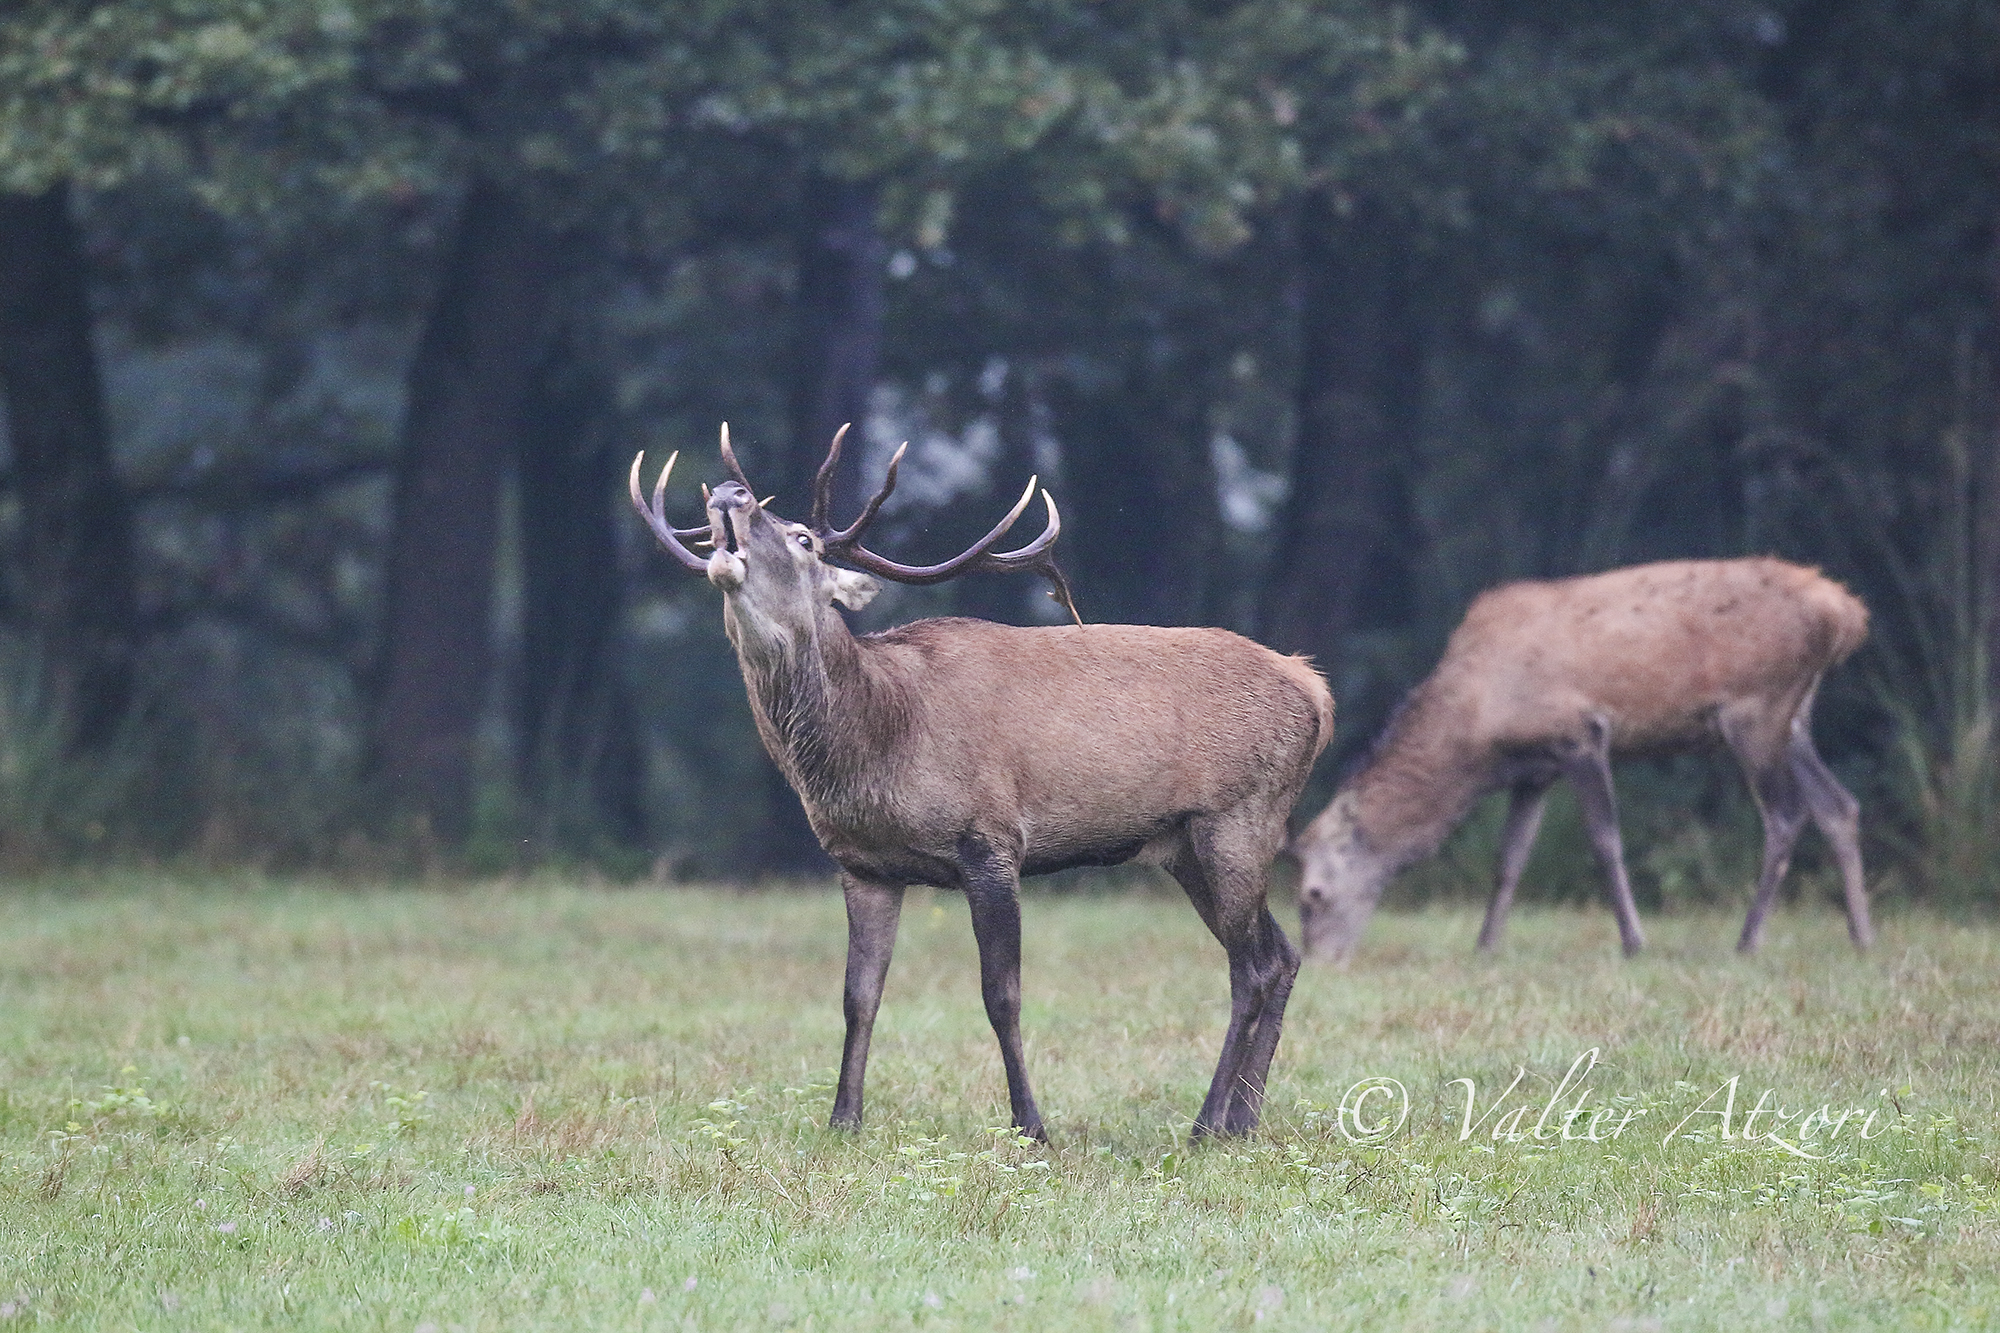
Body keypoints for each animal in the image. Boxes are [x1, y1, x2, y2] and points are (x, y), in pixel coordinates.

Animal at [629, 425, 1332, 1141]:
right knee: (1281, 956)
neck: (882, 738)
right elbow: (859, 995)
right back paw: (1243, 1119)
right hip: (1185, 846)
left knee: (1252, 967)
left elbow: (1002, 993)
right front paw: (844, 1120)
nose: (730, 491)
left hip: (1240, 818)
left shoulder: (990, 839)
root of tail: (1314, 689)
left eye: (804, 539)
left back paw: (1207, 1123)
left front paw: (1031, 1125)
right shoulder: (862, 866)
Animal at [1292, 557, 1874, 963]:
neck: (1477, 735)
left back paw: (1749, 940)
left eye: (1312, 896)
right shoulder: (1534, 771)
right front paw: (1486, 945)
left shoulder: (1582, 735)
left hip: (1757, 710)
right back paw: (1862, 934)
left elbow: (1605, 841)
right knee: (1838, 805)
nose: (1321, 959)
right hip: (1795, 719)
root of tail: (1845, 612)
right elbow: (1510, 858)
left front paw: (1634, 941)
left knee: (1787, 813)